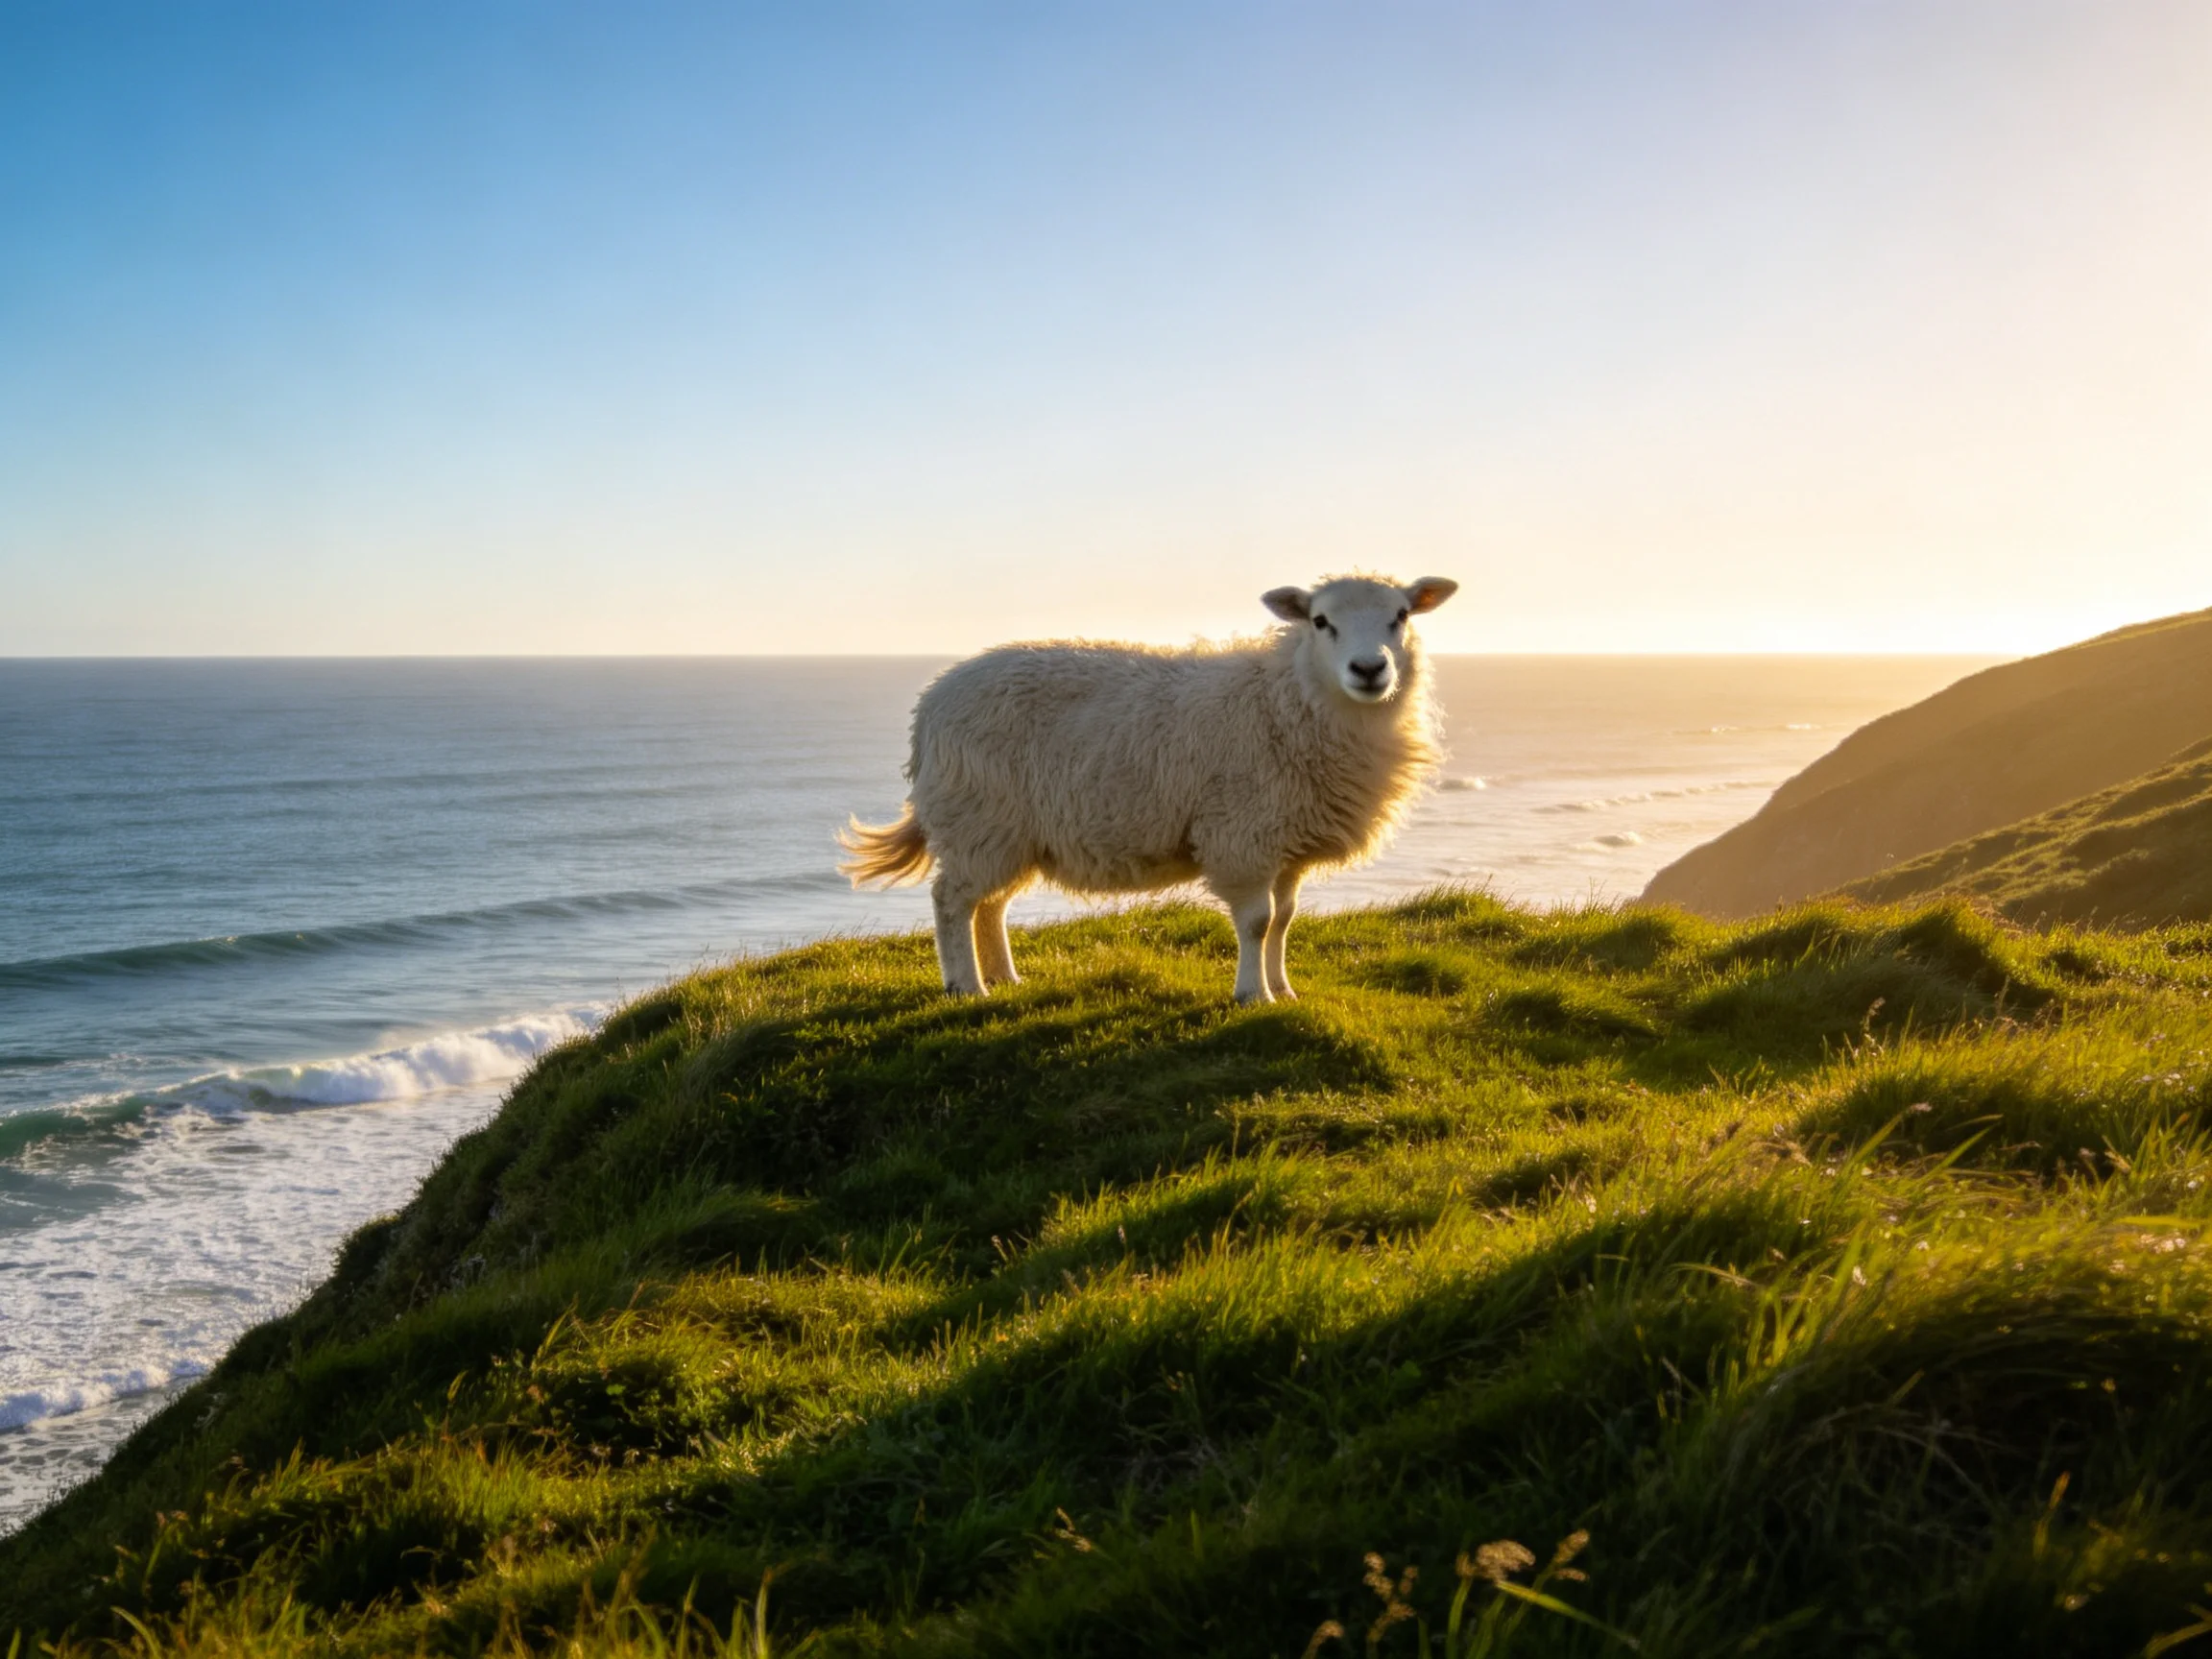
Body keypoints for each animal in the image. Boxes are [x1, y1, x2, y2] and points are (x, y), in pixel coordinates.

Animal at [840, 574, 1458, 1003]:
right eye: (1321, 620)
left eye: (1401, 615)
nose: (1369, 669)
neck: (1289, 698)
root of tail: (930, 707)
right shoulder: (1242, 836)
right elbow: (1256, 922)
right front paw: (1251, 995)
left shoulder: (1285, 843)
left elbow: (1283, 920)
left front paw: (1284, 990)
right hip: (977, 819)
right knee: (952, 903)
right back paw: (967, 986)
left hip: (1006, 834)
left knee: (989, 905)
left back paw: (1006, 977)